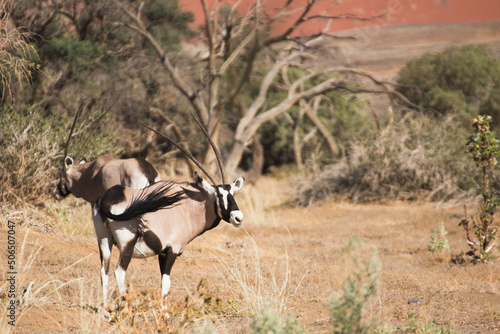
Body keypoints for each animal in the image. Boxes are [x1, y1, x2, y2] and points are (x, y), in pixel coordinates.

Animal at [93, 117, 245, 314]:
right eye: (219, 195)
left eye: (232, 193)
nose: (238, 217)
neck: (188, 207)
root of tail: (107, 199)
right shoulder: (172, 250)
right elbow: (166, 281)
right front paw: (164, 312)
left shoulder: (162, 253)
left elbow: (162, 281)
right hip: (127, 244)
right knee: (119, 272)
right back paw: (127, 309)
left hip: (104, 240)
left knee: (103, 271)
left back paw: (105, 310)